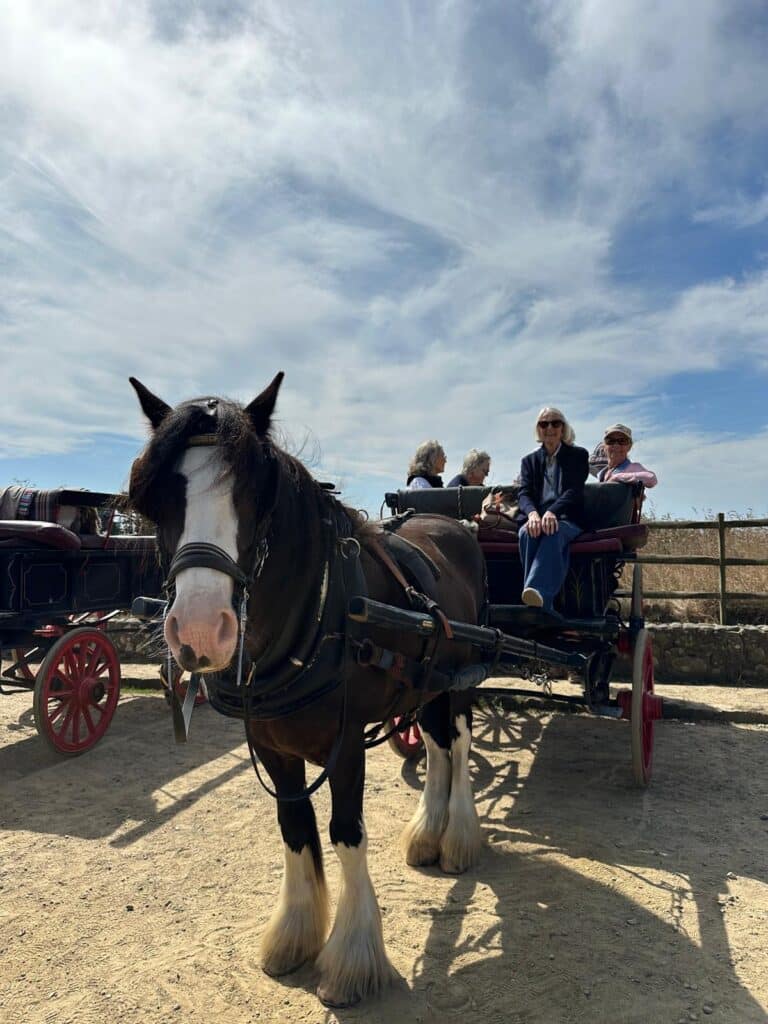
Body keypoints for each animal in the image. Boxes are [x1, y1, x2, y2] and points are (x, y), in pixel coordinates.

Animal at [127, 372, 486, 1007]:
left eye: (254, 493)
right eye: (161, 498)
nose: (199, 631)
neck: (321, 609)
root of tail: (453, 525)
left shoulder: (345, 747)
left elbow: (346, 833)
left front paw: (352, 959)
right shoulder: (273, 746)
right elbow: (294, 828)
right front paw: (294, 936)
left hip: (461, 682)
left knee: (461, 743)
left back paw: (460, 837)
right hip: (428, 685)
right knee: (437, 744)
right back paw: (430, 833)